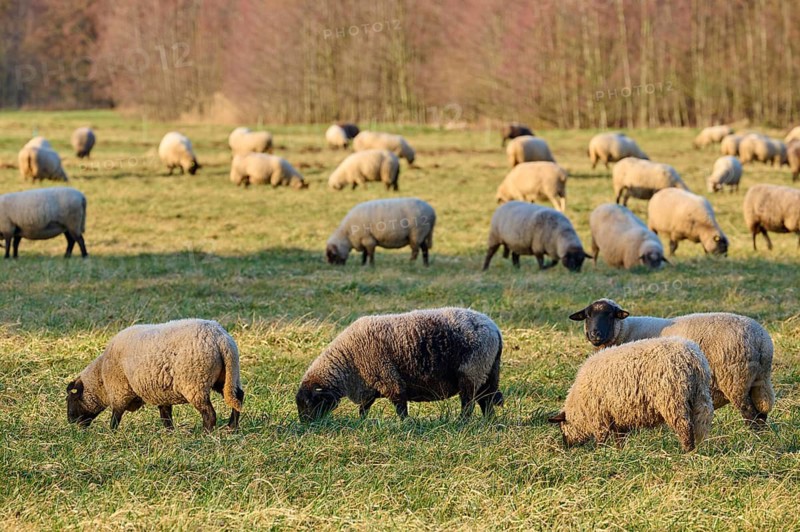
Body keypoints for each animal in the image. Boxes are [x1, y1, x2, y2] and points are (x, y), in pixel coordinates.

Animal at [66, 319, 244, 432]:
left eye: (71, 399)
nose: (70, 422)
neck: (101, 379)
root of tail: (221, 338)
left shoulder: (119, 390)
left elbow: (116, 415)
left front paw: (111, 432)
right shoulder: (160, 392)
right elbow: (165, 415)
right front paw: (170, 433)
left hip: (195, 383)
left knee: (209, 414)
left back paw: (206, 433)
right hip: (227, 375)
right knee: (238, 397)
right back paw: (232, 427)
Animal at [296, 307, 503, 421]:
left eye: (310, 403)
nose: (306, 425)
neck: (348, 360)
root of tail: (494, 328)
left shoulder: (387, 377)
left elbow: (400, 405)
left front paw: (405, 424)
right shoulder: (371, 385)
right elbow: (364, 407)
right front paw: (362, 422)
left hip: (472, 371)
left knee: (469, 402)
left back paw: (462, 422)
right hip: (487, 371)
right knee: (485, 400)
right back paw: (489, 421)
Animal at [548, 337, 713, 452]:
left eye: (562, 428)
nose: (566, 447)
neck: (579, 406)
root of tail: (692, 357)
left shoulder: (599, 417)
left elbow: (601, 438)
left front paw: (600, 454)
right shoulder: (616, 418)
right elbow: (619, 439)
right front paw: (619, 453)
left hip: (673, 399)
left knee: (685, 427)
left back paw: (686, 451)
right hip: (700, 396)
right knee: (701, 423)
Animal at [568, 298, 776, 427]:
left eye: (610, 315)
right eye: (587, 315)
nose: (595, 334)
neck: (625, 330)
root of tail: (761, 339)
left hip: (735, 379)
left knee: (750, 413)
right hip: (758, 381)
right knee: (762, 411)